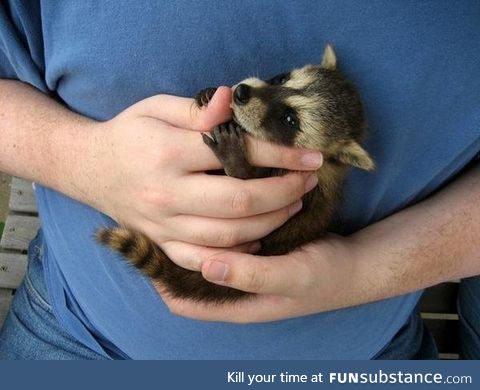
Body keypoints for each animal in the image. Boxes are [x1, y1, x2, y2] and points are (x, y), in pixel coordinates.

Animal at [97, 45, 376, 302]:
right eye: (281, 79)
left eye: (289, 119)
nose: (241, 92)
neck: (329, 164)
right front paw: (211, 94)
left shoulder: (306, 189)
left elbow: (248, 182)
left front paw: (237, 164)